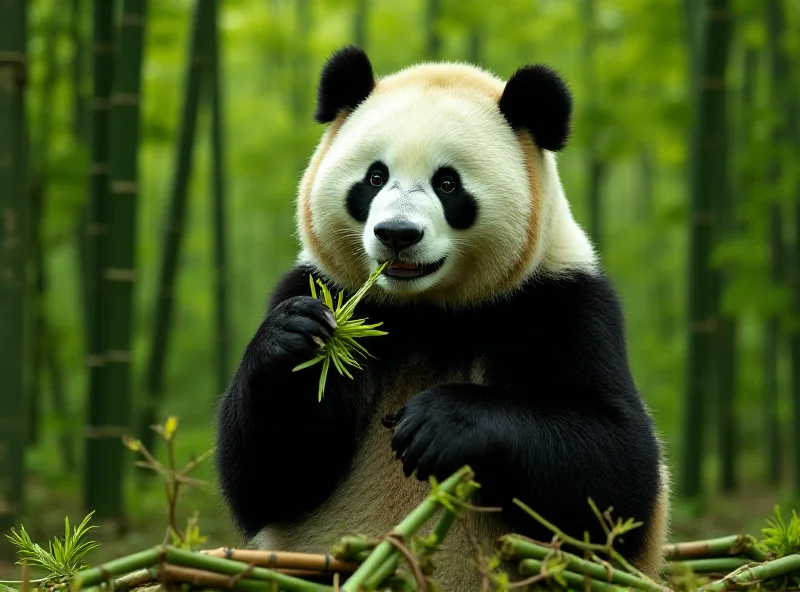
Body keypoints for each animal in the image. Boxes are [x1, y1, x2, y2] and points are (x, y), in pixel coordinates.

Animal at [214, 44, 668, 588]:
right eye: (375, 177)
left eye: (448, 183)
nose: (397, 233)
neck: (427, 311)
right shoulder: (326, 286)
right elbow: (269, 474)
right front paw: (295, 335)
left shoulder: (562, 303)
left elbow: (618, 470)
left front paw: (439, 422)